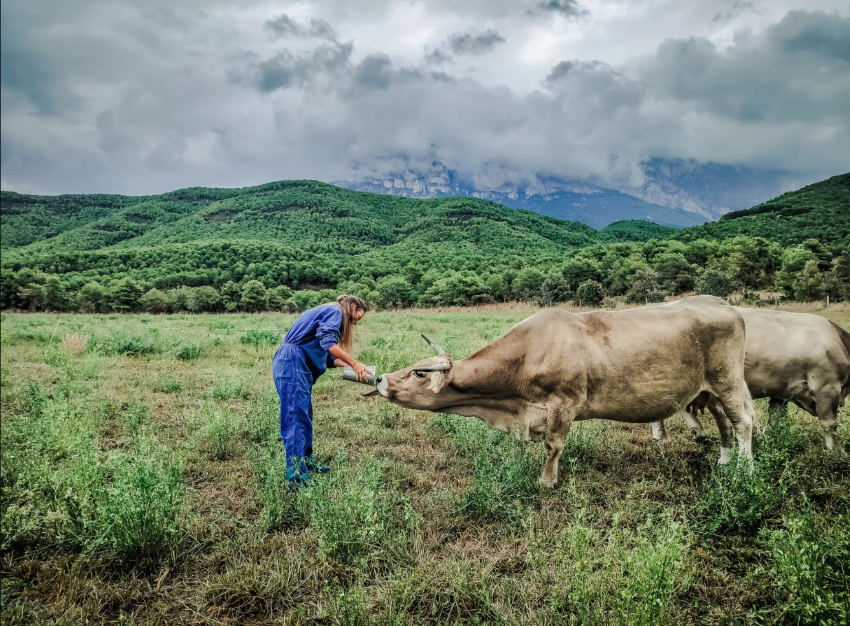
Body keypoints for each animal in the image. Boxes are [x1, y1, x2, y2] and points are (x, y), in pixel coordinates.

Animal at [368, 294, 752, 486]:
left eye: (419, 372)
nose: (380, 379)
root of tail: (723, 305)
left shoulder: (564, 404)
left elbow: (554, 445)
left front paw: (547, 481)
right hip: (710, 390)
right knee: (724, 422)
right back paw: (724, 459)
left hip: (728, 381)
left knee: (744, 423)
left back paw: (743, 471)